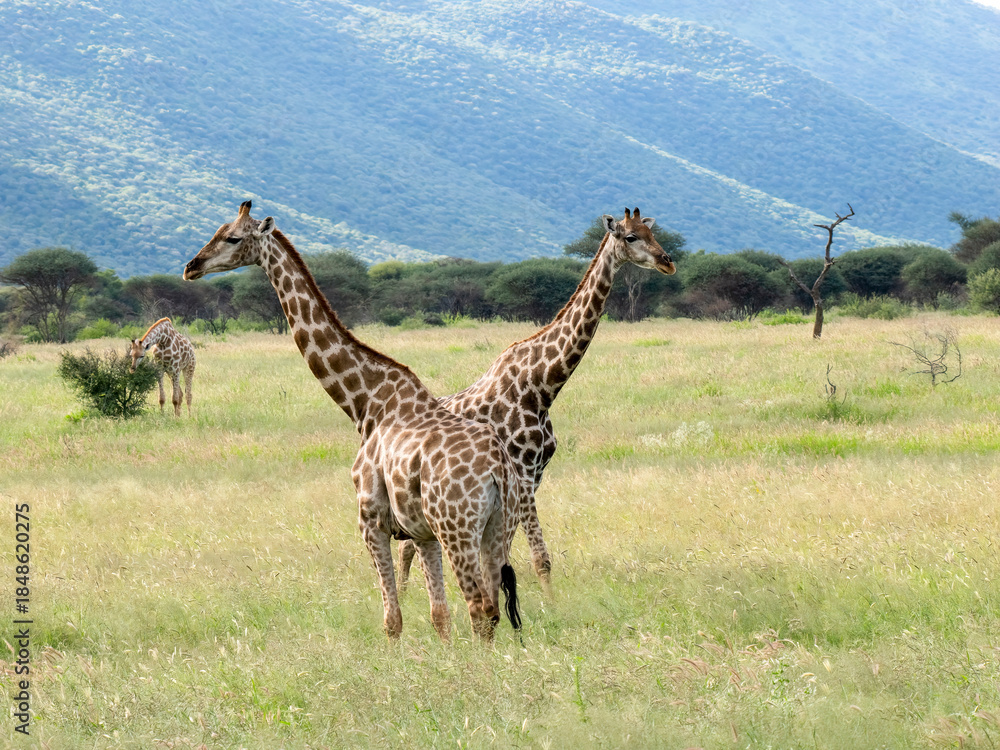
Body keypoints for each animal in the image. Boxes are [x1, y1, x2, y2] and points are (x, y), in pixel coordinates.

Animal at [183, 201, 522, 642]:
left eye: (233, 238)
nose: (191, 267)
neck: (365, 404)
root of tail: (497, 468)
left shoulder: (370, 520)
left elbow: (392, 620)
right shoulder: (420, 531)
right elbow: (438, 615)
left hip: (457, 526)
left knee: (480, 607)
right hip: (497, 527)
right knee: (493, 607)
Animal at [399, 208, 675, 586]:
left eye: (653, 232)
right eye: (631, 237)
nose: (667, 262)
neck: (542, 386)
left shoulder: (535, 475)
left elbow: (511, 554)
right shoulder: (522, 473)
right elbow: (539, 559)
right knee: (406, 546)